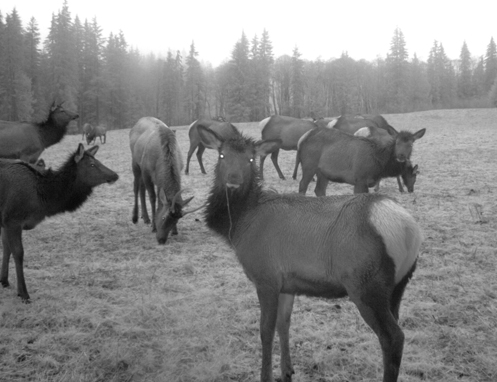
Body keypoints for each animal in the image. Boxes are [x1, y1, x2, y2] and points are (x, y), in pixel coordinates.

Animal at [0, 143, 118, 302]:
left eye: (98, 161)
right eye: (92, 164)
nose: (115, 175)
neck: (41, 200)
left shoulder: (5, 221)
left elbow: (6, 248)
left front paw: (4, 281)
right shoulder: (13, 219)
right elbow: (18, 252)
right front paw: (23, 293)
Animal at [198, 125, 422, 382]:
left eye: (250, 158)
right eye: (222, 155)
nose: (233, 180)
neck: (238, 225)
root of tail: (411, 230)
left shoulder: (265, 277)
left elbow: (265, 330)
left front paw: (267, 375)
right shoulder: (287, 283)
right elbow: (283, 323)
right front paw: (287, 369)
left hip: (366, 285)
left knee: (393, 338)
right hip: (398, 286)